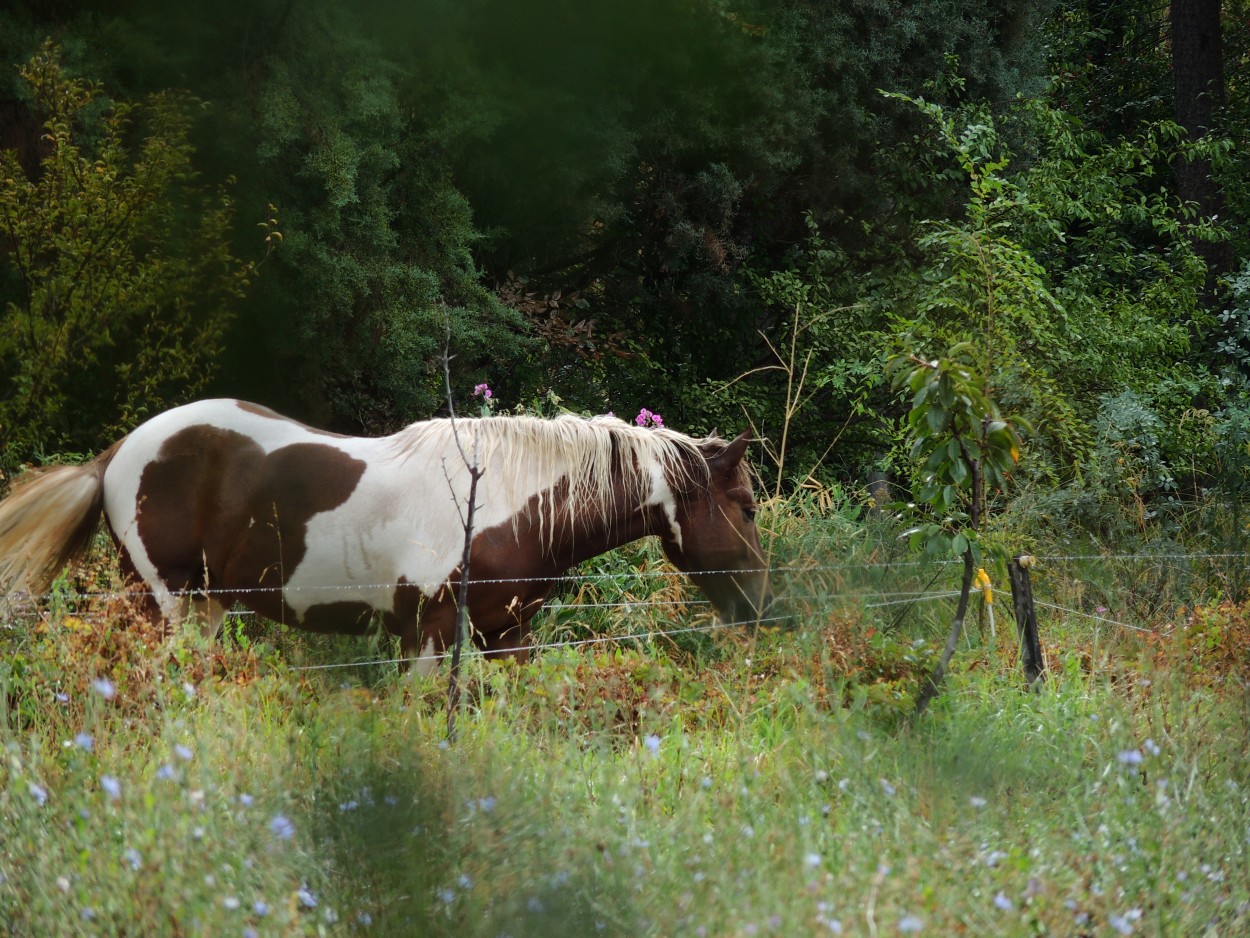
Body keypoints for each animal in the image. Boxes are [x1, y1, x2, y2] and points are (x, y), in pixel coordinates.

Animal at [0, 400, 770, 670]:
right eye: (748, 506)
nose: (763, 607)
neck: (501, 500)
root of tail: (117, 455)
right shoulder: (428, 634)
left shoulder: (506, 637)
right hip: (165, 605)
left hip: (205, 608)